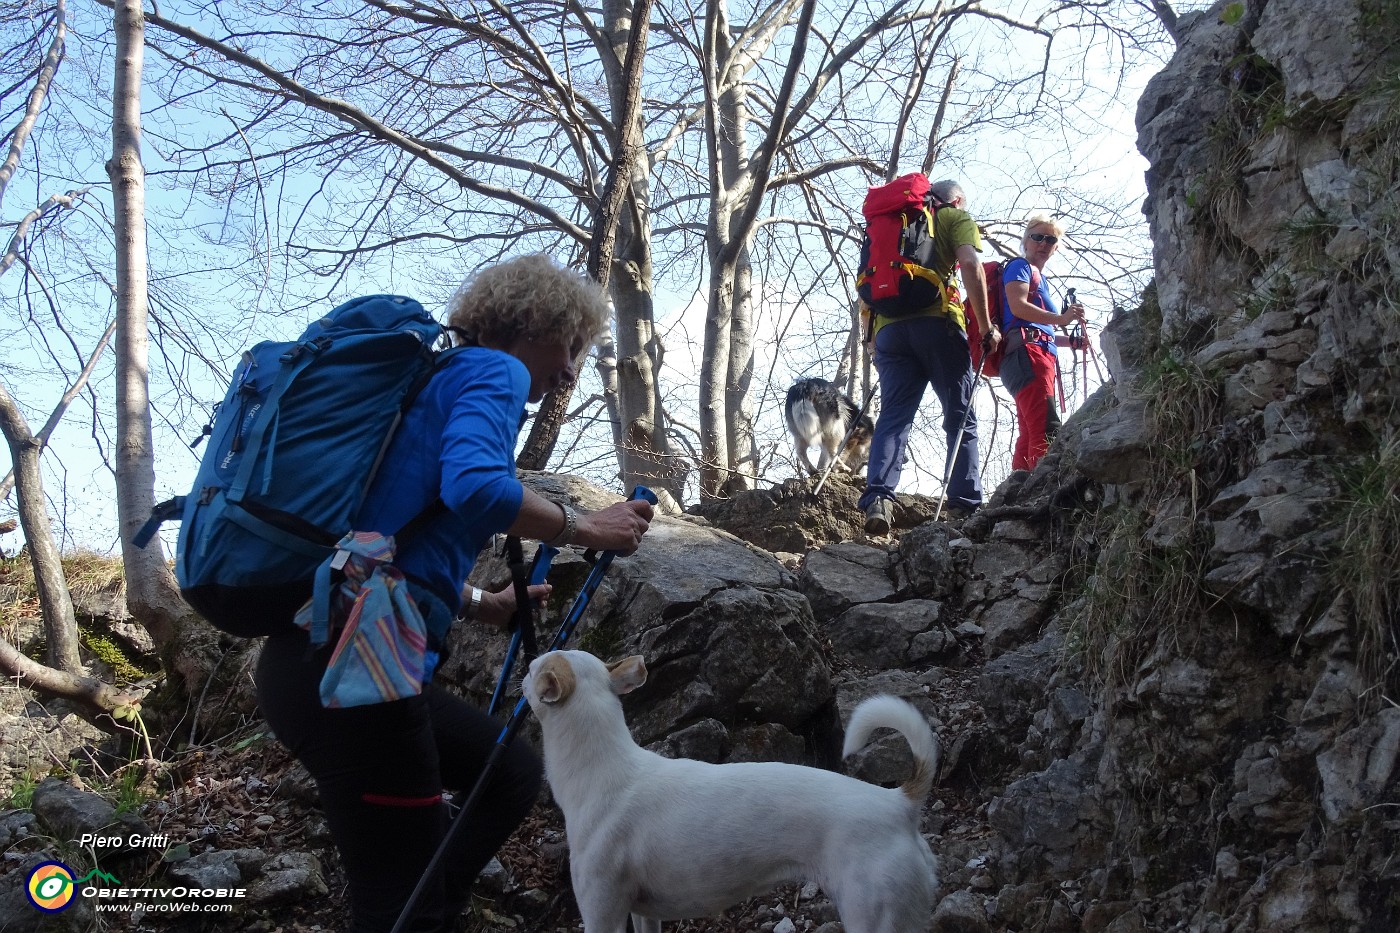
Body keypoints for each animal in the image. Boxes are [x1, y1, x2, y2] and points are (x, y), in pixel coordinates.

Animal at [520, 647, 935, 930]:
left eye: (531, 668)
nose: (521, 674)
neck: (603, 771)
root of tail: (898, 803)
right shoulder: (642, 913)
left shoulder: (601, 913)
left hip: (873, 916)